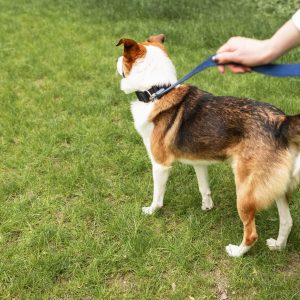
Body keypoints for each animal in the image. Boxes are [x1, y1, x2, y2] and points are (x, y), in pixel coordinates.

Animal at [116, 34, 300, 256]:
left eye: (122, 56)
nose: (116, 61)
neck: (158, 91)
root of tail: (281, 121)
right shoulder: (199, 161)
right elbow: (204, 187)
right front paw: (207, 207)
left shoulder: (160, 164)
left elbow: (157, 195)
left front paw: (151, 211)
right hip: (276, 185)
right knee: (287, 221)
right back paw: (278, 245)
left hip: (245, 190)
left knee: (252, 233)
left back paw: (237, 252)